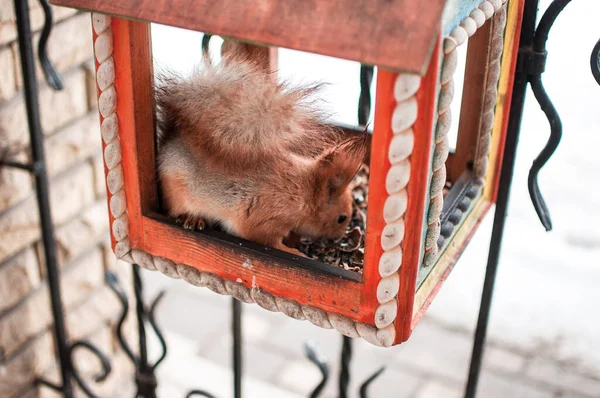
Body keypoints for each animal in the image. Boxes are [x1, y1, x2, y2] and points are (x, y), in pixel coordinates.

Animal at [155, 45, 368, 256]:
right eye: (342, 218)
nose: (339, 237)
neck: (303, 193)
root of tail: (170, 140)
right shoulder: (265, 219)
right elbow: (265, 239)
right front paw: (295, 252)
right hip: (176, 193)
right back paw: (193, 218)